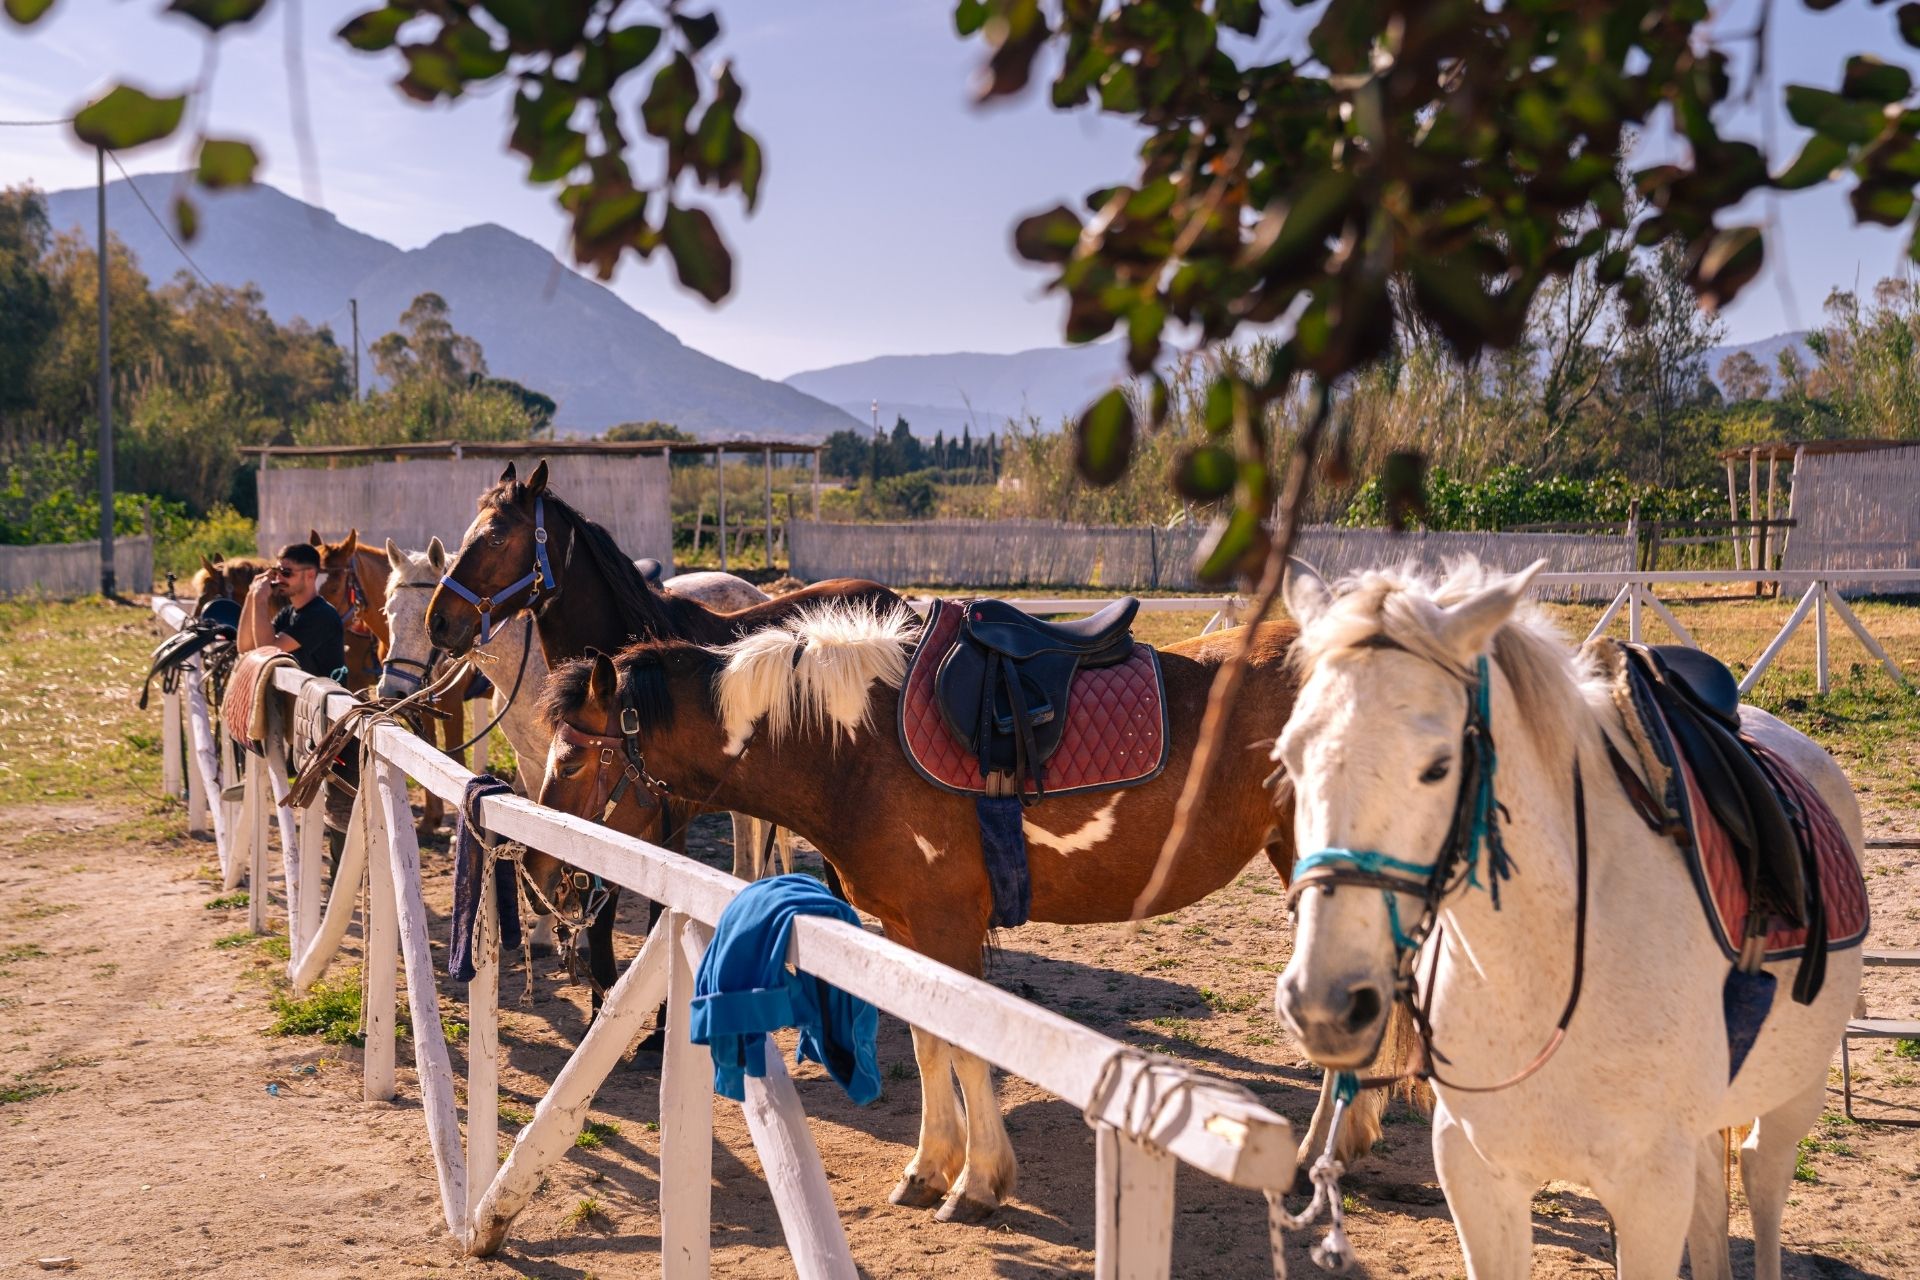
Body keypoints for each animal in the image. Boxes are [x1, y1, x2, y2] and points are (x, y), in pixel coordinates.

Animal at [533, 598, 1409, 1224]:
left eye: (573, 757)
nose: (537, 868)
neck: (853, 747)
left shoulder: (948, 925)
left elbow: (966, 1049)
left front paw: (979, 1183)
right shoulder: (906, 931)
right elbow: (929, 1047)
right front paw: (930, 1168)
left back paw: (1319, 1153)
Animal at [1270, 559, 1864, 1280]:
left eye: (1438, 767)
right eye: (1289, 758)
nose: (1324, 1005)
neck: (1541, 969)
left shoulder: (1648, 1193)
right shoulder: (1477, 1176)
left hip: (1792, 1093)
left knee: (1761, 1175)